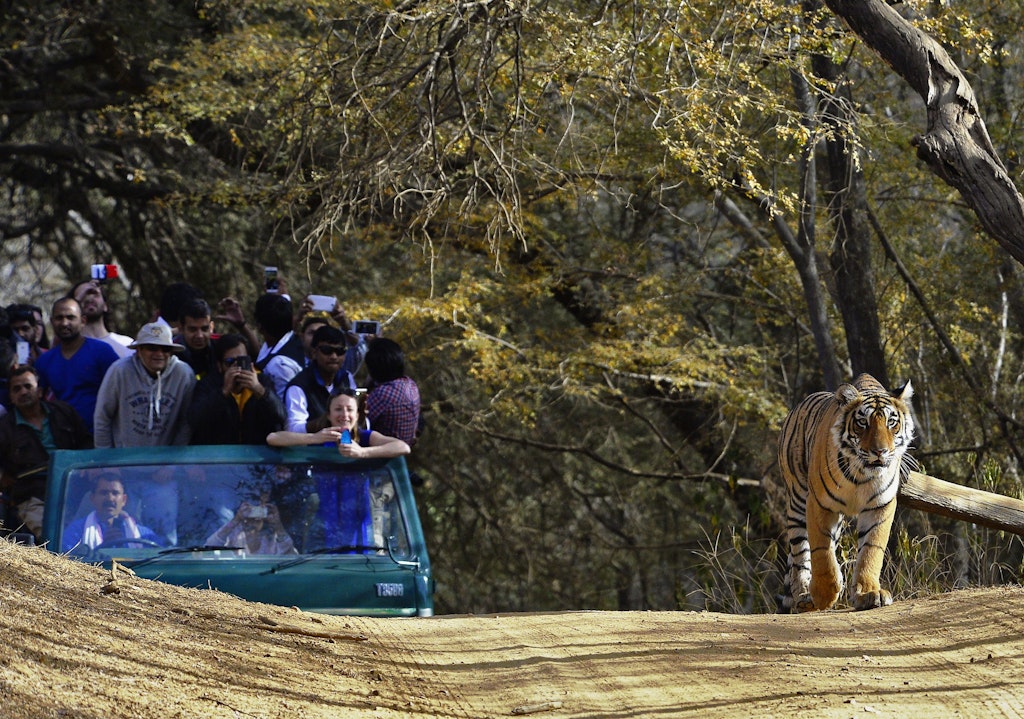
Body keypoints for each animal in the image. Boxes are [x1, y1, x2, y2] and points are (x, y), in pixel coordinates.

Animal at [778, 374, 917, 618]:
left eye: (891, 422)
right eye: (863, 423)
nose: (880, 451)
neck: (862, 474)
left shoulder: (880, 506)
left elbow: (871, 550)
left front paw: (869, 593)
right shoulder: (819, 504)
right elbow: (821, 552)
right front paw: (824, 595)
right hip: (797, 501)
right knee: (800, 556)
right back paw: (804, 595)